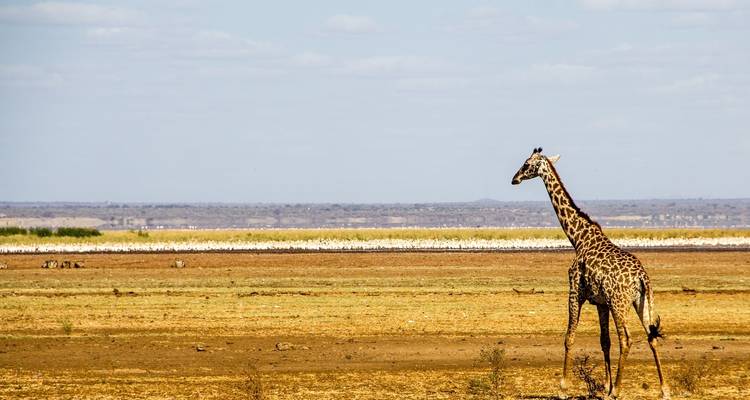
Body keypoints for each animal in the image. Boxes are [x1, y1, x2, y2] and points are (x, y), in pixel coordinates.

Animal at [511, 147, 669, 399]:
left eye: (526, 164)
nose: (514, 179)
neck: (578, 238)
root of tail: (641, 277)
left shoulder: (575, 292)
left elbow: (569, 338)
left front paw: (563, 388)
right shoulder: (601, 303)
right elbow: (604, 341)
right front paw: (605, 386)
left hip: (619, 302)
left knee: (627, 339)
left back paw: (618, 391)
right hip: (640, 302)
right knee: (651, 337)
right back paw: (664, 389)